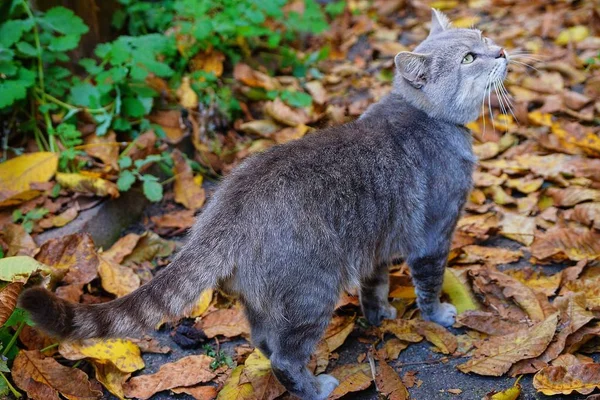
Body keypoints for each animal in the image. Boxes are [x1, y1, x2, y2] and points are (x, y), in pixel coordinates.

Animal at [19, 10, 506, 400]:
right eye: (469, 58)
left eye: (482, 37)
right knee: (285, 357)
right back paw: (315, 387)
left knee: (263, 339)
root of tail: (225, 208)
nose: (500, 51)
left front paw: (379, 314)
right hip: (312, 292)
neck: (426, 116)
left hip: (265, 297)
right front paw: (438, 315)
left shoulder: (375, 243)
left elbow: (374, 285)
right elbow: (429, 284)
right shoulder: (434, 234)